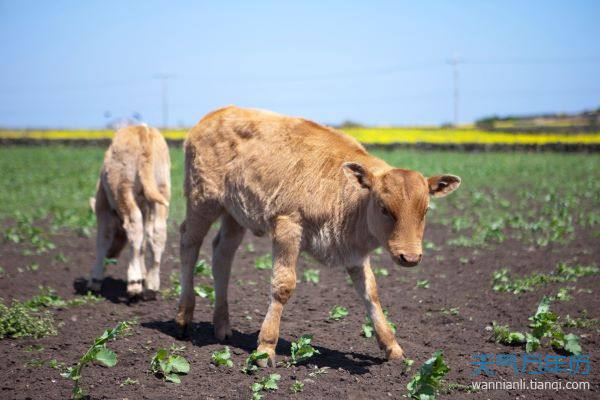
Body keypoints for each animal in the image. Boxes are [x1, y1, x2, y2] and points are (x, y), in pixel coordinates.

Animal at [90, 125, 172, 300]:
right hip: (162, 189)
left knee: (134, 225)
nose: (112, 254)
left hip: (123, 189)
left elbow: (102, 240)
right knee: (157, 232)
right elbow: (142, 244)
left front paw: (95, 279)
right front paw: (143, 275)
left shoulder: (102, 207)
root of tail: (143, 130)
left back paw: (134, 284)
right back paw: (151, 285)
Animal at [176, 107, 462, 366]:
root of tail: (211, 116)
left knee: (222, 256)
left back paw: (222, 327)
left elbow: (370, 291)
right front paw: (265, 349)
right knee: (189, 244)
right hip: (203, 201)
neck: (348, 195)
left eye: (425, 210)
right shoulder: (287, 229)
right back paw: (183, 317)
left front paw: (393, 347)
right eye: (384, 208)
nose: (410, 257)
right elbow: (283, 285)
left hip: (234, 216)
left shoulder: (354, 253)